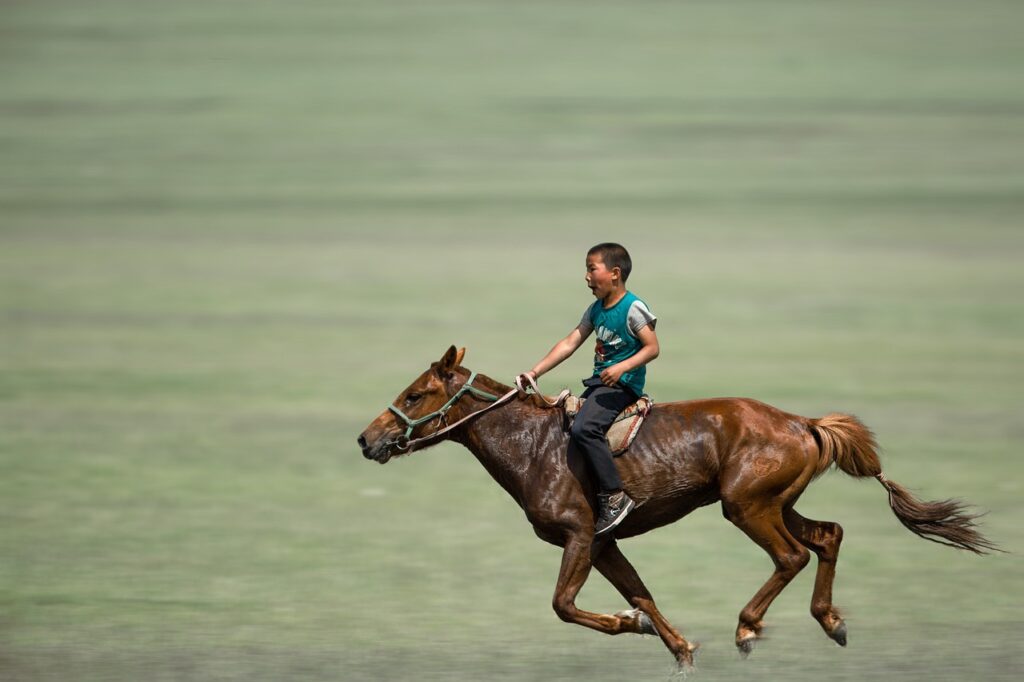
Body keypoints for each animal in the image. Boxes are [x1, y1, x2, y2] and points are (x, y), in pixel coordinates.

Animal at [357, 346, 997, 668]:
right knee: (828, 535)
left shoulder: (580, 536)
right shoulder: (606, 542)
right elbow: (642, 593)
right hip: (774, 502)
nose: (367, 439)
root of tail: (804, 423)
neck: (533, 446)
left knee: (792, 556)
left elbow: (565, 605)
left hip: (746, 507)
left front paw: (632, 626)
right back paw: (832, 622)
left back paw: (748, 627)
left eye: (417, 393)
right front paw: (679, 647)